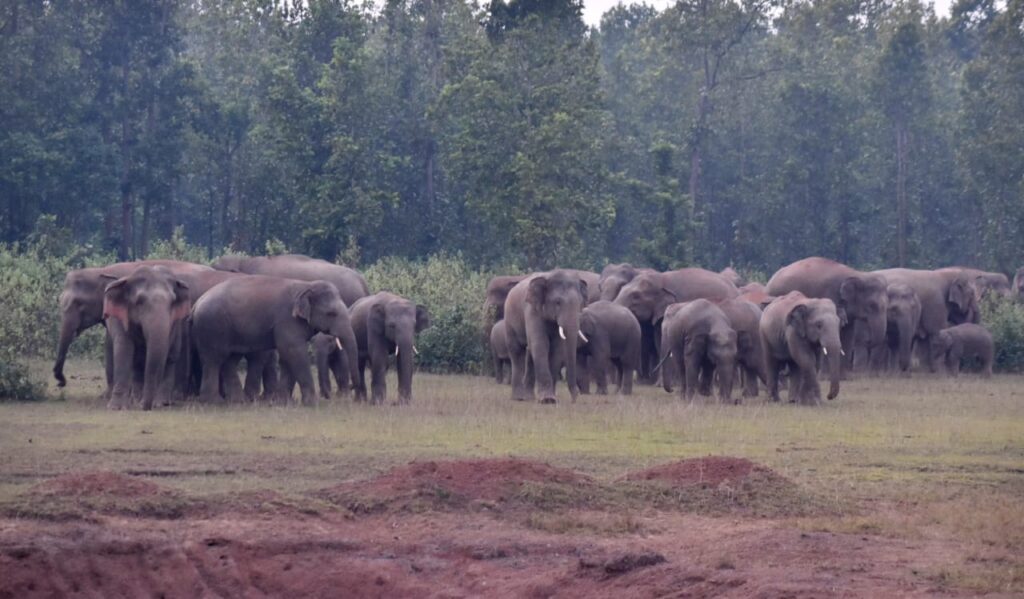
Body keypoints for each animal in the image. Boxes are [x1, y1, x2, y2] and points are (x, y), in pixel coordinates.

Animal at [103, 266, 193, 411]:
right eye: (139, 301)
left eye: (172, 302)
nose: (144, 407)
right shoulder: (120, 318)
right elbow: (124, 350)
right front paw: (116, 407)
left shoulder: (172, 323)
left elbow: (165, 352)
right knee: (137, 363)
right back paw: (136, 400)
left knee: (170, 357)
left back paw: (160, 402)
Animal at [501, 270, 585, 401]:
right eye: (557, 302)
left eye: (580, 303)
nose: (576, 397)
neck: (549, 276)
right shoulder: (531, 310)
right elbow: (541, 344)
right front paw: (547, 400)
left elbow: (556, 349)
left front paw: (552, 398)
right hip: (509, 321)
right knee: (517, 352)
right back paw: (519, 398)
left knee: (529, 350)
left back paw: (529, 398)